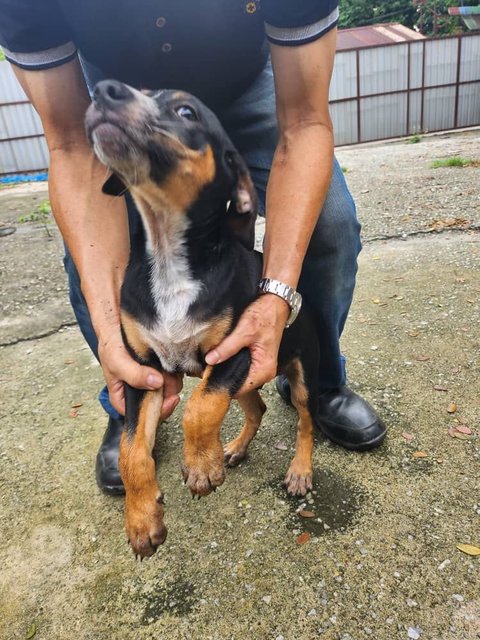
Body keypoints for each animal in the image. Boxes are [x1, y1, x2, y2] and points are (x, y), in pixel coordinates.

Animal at [85, 80, 320, 556]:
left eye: (186, 111)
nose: (102, 89)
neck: (171, 260)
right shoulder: (144, 372)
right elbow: (131, 450)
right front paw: (142, 519)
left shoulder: (236, 352)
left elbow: (200, 407)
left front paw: (199, 467)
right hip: (246, 380)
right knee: (257, 407)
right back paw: (234, 449)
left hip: (298, 368)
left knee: (306, 420)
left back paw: (300, 470)